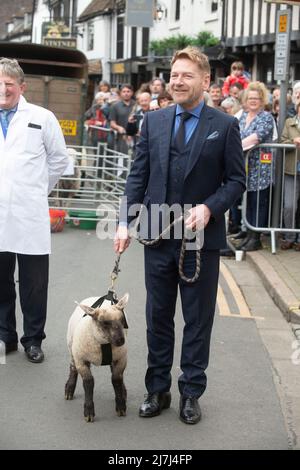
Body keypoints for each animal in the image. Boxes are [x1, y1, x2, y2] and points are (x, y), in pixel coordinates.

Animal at [65, 294, 128, 422]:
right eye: (104, 322)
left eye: (122, 319)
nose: (120, 340)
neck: (104, 343)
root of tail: (94, 297)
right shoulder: (82, 361)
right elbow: (88, 383)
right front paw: (88, 412)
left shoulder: (121, 359)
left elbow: (116, 379)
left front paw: (120, 406)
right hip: (72, 348)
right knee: (73, 367)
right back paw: (69, 389)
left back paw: (124, 391)